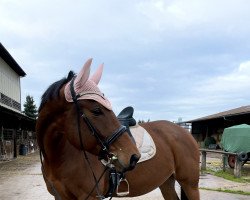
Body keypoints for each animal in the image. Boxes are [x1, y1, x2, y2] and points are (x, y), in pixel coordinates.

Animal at [36, 58, 200, 200]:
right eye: (96, 110)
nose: (134, 156)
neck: (58, 158)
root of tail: (185, 132)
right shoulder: (60, 196)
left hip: (190, 184)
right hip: (166, 182)